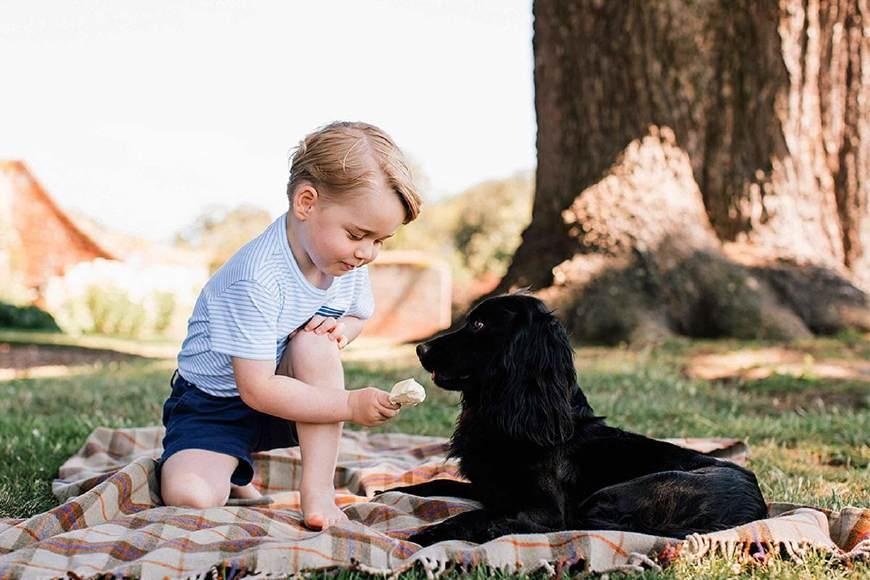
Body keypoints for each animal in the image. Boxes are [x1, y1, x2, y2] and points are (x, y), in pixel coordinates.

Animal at [392, 296, 768, 548]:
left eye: (479, 325)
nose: (421, 349)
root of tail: (757, 510)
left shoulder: (544, 508)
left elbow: (477, 515)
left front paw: (429, 533)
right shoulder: (491, 489)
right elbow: (435, 484)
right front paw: (389, 492)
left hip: (615, 494)